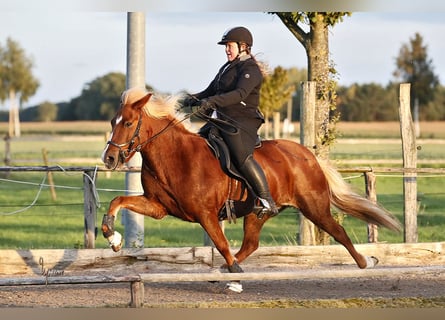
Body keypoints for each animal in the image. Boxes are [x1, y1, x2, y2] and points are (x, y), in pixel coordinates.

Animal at [101, 89, 402, 276]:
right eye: (113, 121)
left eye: (128, 123)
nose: (110, 158)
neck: (176, 156)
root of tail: (308, 155)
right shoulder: (158, 207)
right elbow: (118, 200)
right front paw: (112, 237)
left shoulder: (205, 213)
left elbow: (221, 243)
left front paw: (233, 273)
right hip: (257, 213)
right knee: (251, 244)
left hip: (314, 206)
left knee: (338, 232)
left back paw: (366, 262)